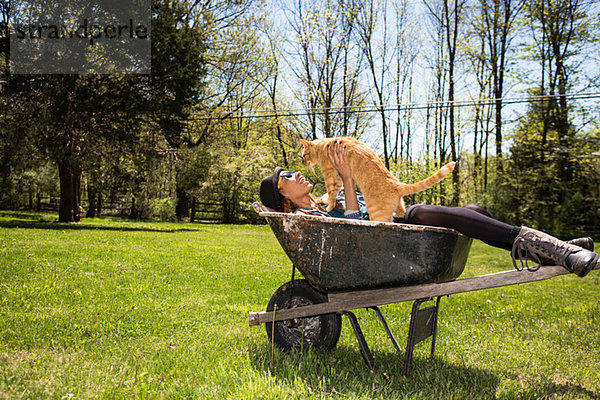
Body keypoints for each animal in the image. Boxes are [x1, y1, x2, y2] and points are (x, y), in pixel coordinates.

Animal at [300, 138, 454, 222]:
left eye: (303, 156)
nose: (303, 163)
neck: (323, 145)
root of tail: (396, 184)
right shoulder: (338, 176)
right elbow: (335, 191)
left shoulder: (330, 174)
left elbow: (331, 192)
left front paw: (330, 206)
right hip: (399, 208)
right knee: (402, 214)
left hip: (378, 214)